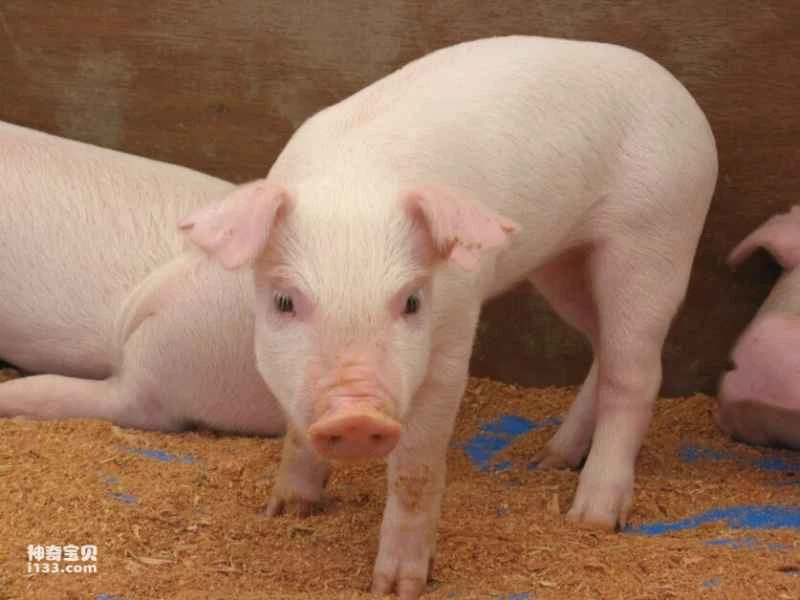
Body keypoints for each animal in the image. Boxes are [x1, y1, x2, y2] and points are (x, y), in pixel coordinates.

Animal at [180, 35, 717, 599]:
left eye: (413, 302)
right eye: (284, 302)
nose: (355, 417)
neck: (354, 186)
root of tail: (678, 92)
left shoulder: (454, 334)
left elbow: (416, 467)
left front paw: (398, 587)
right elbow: (296, 431)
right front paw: (286, 511)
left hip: (657, 234)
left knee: (636, 372)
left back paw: (591, 517)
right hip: (564, 264)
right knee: (602, 349)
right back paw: (547, 458)